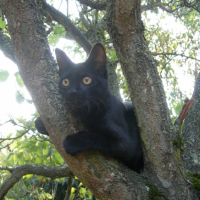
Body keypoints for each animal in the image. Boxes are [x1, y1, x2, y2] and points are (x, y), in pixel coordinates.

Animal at [35, 43, 143, 173]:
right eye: (66, 82)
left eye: (86, 80)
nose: (72, 92)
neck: (87, 112)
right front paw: (40, 123)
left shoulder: (127, 145)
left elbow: (98, 137)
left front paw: (73, 141)